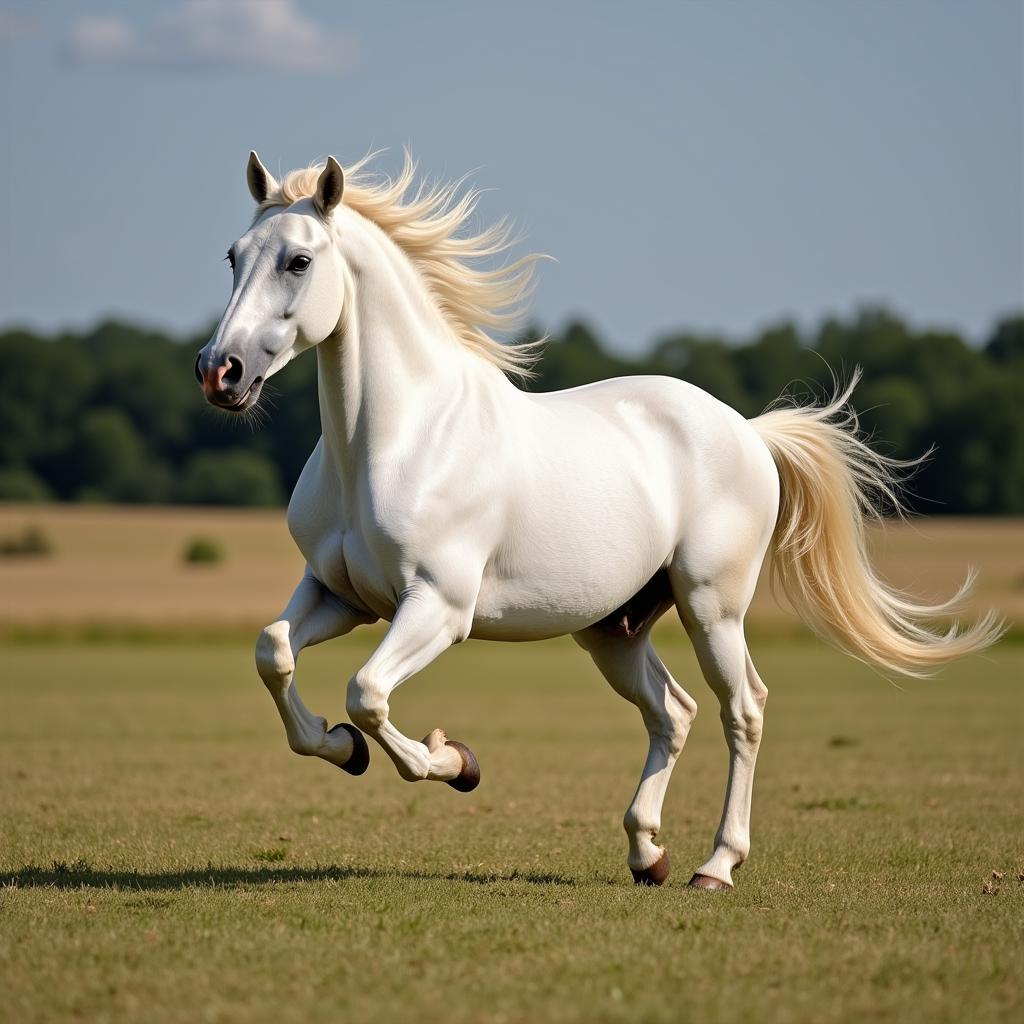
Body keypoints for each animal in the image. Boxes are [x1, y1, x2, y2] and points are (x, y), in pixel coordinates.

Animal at [195, 151, 1003, 888]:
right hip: (614, 628)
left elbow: (367, 694)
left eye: (299, 260)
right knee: (673, 712)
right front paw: (342, 749)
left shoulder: (438, 608)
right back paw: (648, 853)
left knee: (742, 711)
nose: (218, 371)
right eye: (233, 256)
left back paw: (716, 865)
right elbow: (274, 652)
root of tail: (748, 431)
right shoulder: (341, 595)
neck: (395, 441)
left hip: (711, 606)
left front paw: (453, 760)